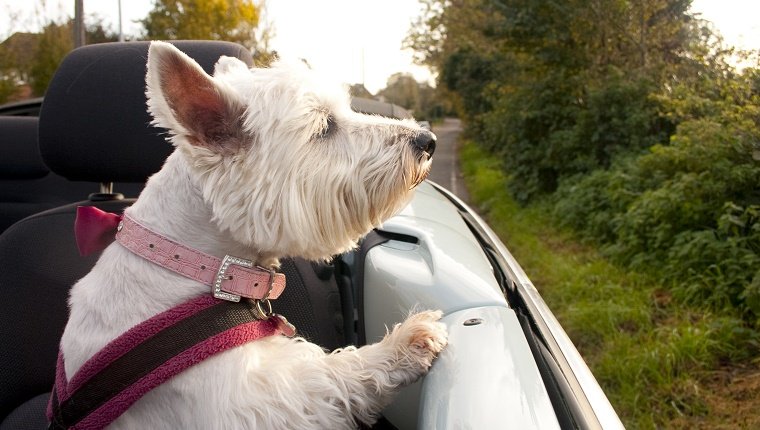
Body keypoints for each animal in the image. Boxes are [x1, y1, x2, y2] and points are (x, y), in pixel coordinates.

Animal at [56, 41, 448, 430]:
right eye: (324, 126)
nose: (428, 140)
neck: (186, 262)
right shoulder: (243, 405)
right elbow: (328, 374)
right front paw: (405, 342)